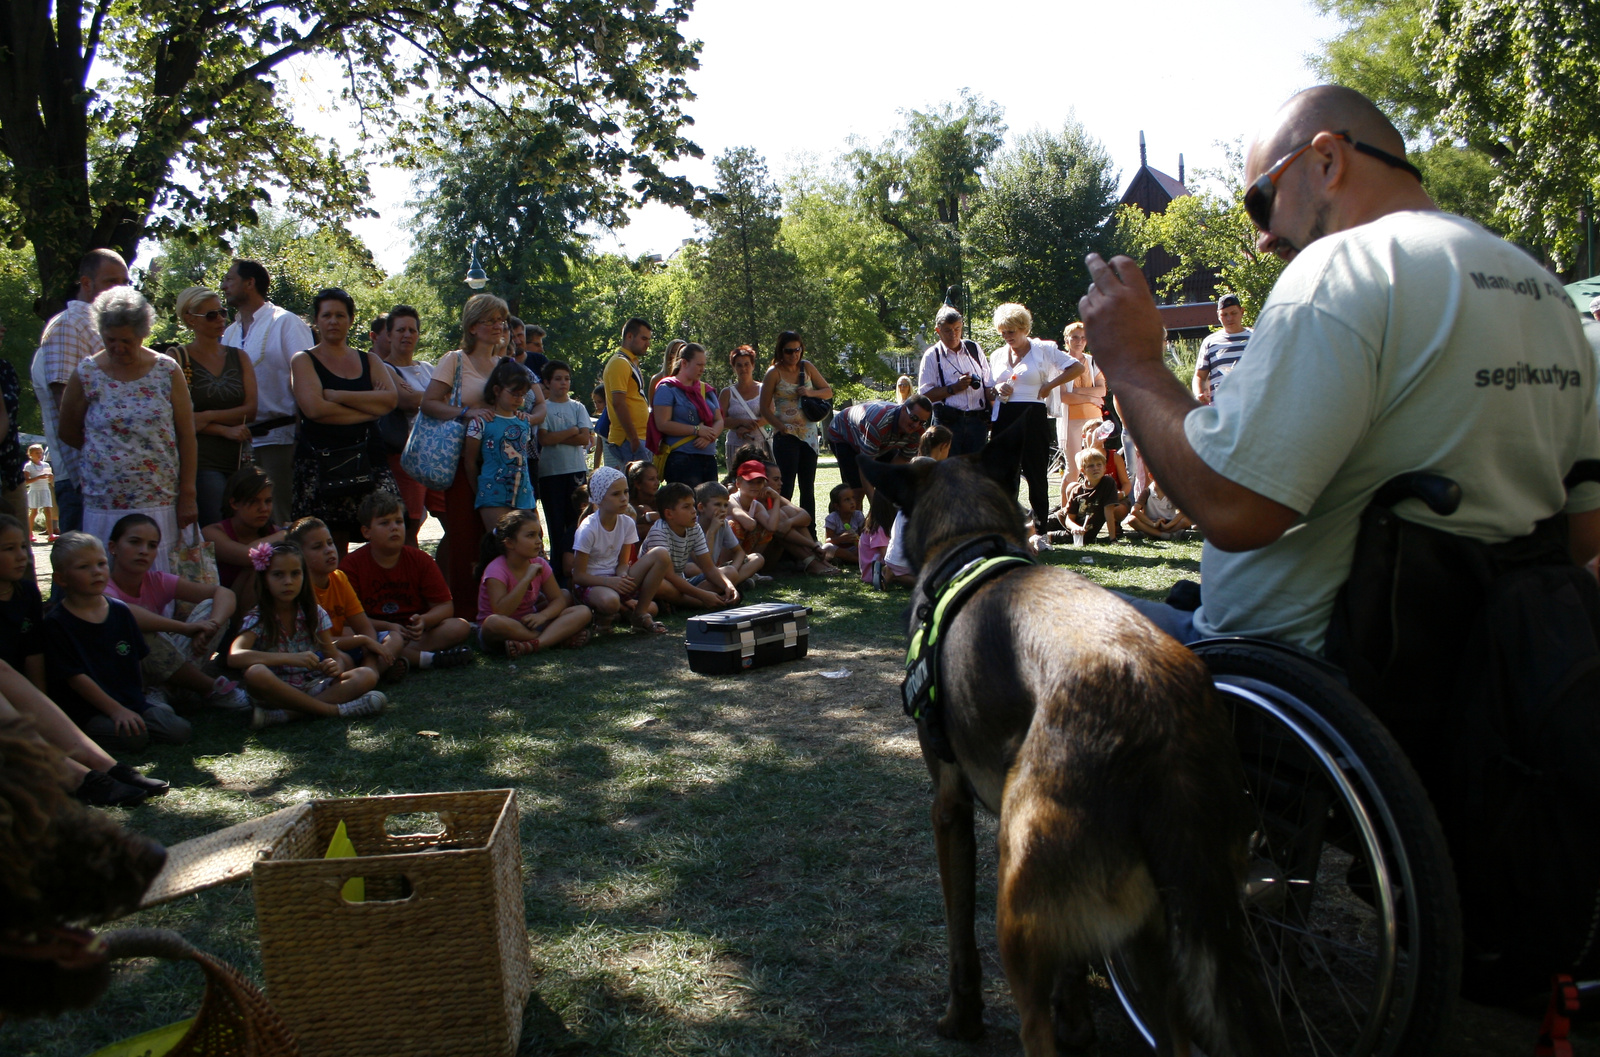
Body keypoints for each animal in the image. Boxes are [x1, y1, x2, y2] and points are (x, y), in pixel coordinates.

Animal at [857, 428, 1280, 1055]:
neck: (967, 541)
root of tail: (1161, 723)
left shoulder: (949, 808)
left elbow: (960, 938)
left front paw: (962, 1019)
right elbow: (1074, 978)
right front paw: (1078, 1017)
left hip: (1019, 912)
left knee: (1033, 1024)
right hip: (1164, 943)